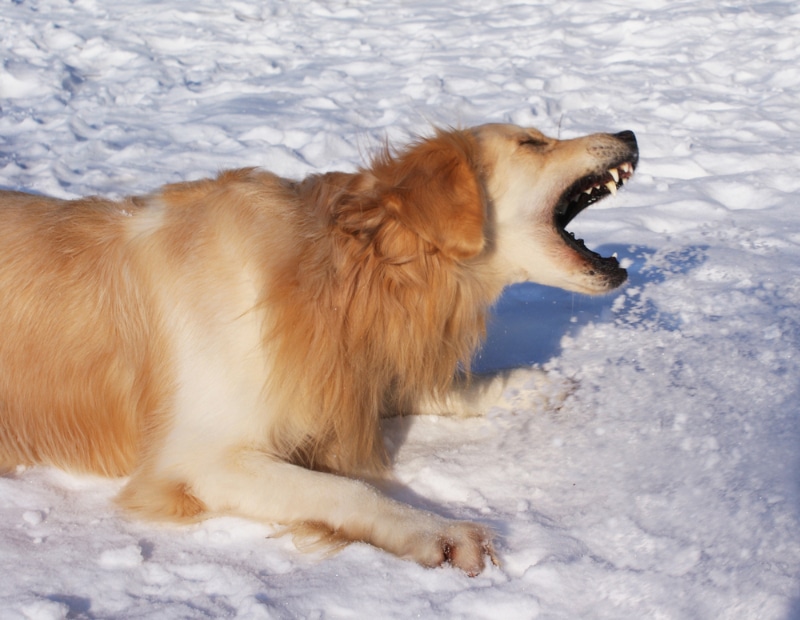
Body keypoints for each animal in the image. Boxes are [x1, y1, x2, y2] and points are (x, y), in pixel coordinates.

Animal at [0, 123, 636, 572]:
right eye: (533, 142)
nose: (630, 134)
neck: (341, 268)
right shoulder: (198, 460)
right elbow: (346, 488)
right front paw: (435, 530)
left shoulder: (342, 371)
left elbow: (411, 387)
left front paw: (521, 386)